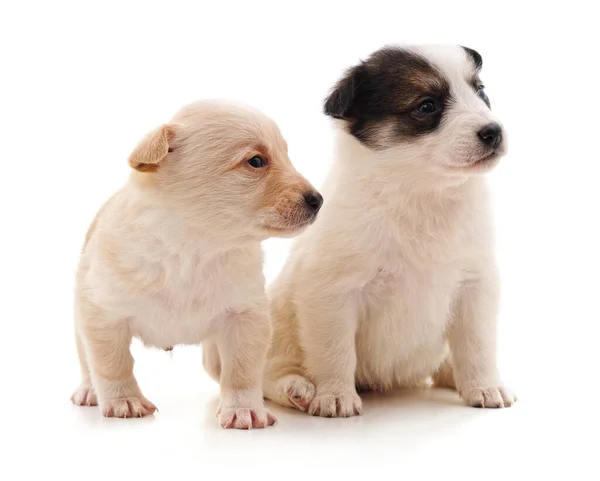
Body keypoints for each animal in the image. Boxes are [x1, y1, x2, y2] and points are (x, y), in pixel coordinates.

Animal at [69, 98, 324, 428]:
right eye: (256, 161)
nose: (318, 200)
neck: (194, 249)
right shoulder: (103, 314)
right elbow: (112, 364)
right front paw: (124, 400)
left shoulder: (246, 317)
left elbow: (242, 371)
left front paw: (243, 408)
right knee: (86, 360)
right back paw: (89, 391)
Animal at [262, 45, 516, 416]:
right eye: (427, 106)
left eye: (480, 92)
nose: (493, 131)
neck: (422, 192)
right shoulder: (332, 293)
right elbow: (334, 351)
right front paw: (335, 394)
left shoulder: (475, 285)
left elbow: (477, 345)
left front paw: (484, 386)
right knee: (269, 374)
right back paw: (298, 388)